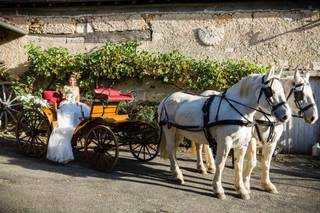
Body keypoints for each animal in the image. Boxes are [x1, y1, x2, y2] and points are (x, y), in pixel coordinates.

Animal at [159, 71, 292, 200]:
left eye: (283, 91)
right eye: (270, 91)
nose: (286, 116)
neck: (237, 110)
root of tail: (166, 98)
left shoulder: (243, 144)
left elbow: (239, 165)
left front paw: (241, 190)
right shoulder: (225, 142)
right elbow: (221, 164)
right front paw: (218, 189)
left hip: (180, 132)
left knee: (175, 150)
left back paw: (177, 171)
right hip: (170, 129)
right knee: (170, 149)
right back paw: (178, 175)